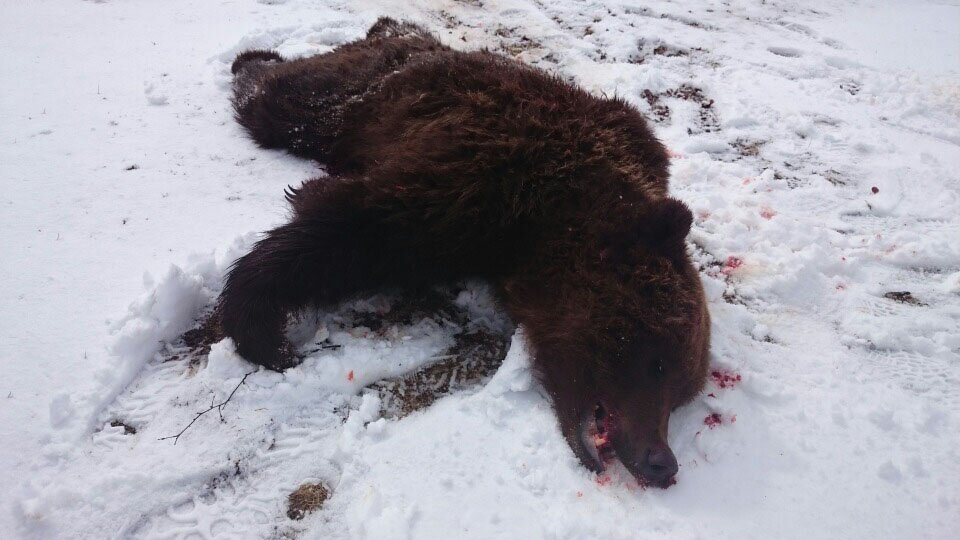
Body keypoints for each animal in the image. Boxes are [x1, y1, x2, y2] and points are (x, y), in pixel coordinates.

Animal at [219, 17, 710, 487]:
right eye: (657, 362)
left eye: (682, 394)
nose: (662, 462)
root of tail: (395, 29)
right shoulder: (479, 177)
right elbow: (353, 227)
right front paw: (263, 329)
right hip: (359, 94)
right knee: (281, 99)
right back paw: (253, 58)